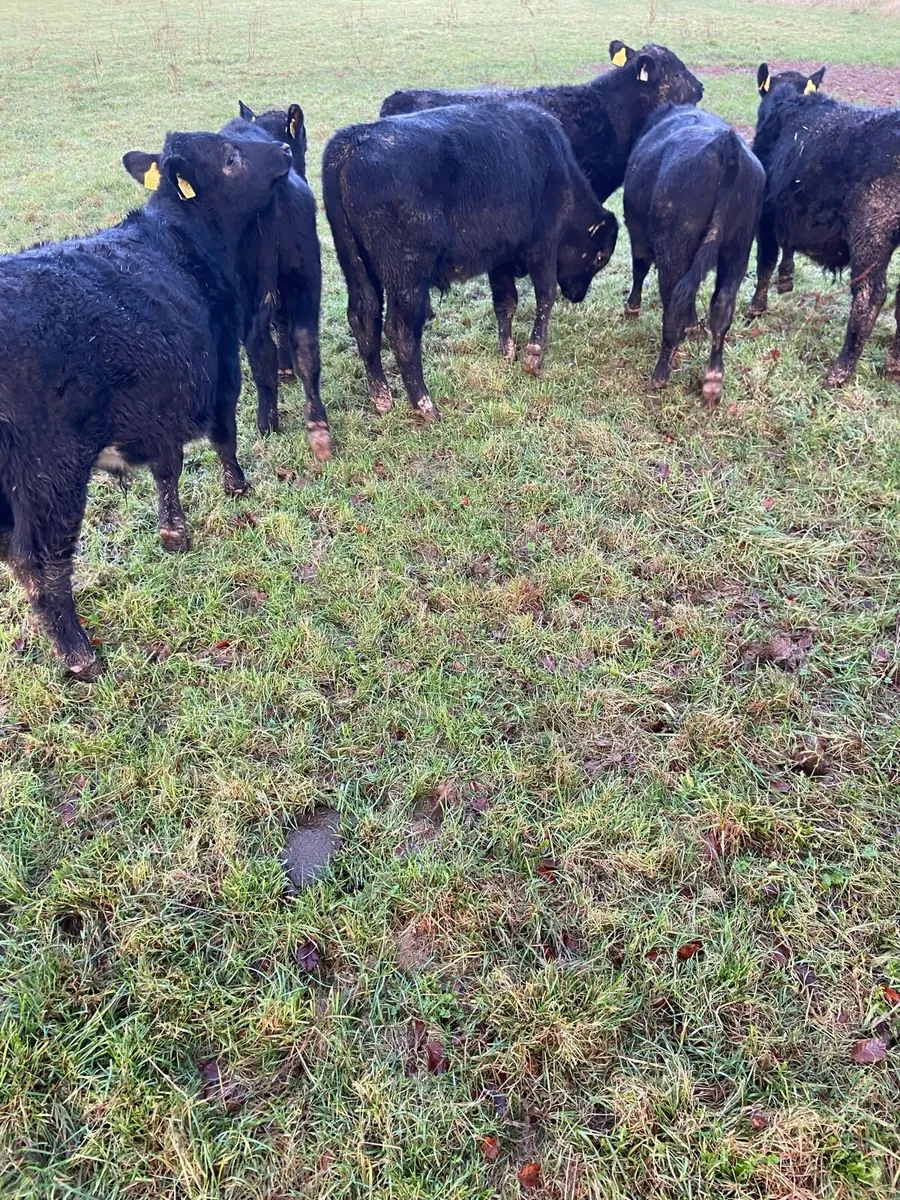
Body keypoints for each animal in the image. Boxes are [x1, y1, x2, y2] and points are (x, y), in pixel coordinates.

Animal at [0, 131, 291, 679]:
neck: (181, 240)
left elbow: (167, 467)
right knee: (40, 564)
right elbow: (223, 437)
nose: (285, 152)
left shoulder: (160, 407)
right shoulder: (221, 368)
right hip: (51, 474)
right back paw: (80, 656)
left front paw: (173, 532)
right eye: (231, 158)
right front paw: (236, 487)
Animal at [322, 102, 617, 420]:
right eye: (600, 256)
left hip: (358, 270)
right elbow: (545, 295)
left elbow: (505, 302)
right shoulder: (543, 244)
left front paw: (506, 351)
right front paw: (533, 355)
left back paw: (382, 399)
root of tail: (352, 142)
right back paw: (426, 405)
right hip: (407, 276)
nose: (577, 296)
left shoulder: (500, 256)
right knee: (400, 331)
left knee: (364, 319)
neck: (558, 166)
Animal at [623, 106, 765, 406]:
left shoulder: (637, 232)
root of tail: (727, 145)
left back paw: (660, 375)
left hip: (674, 247)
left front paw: (632, 307)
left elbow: (639, 268)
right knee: (722, 304)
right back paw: (713, 379)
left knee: (673, 301)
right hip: (739, 246)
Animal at [749, 64, 900, 387]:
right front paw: (786, 279)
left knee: (871, 295)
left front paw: (755, 308)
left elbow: (764, 263)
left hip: (871, 232)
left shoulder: (766, 216)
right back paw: (893, 364)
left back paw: (839, 371)